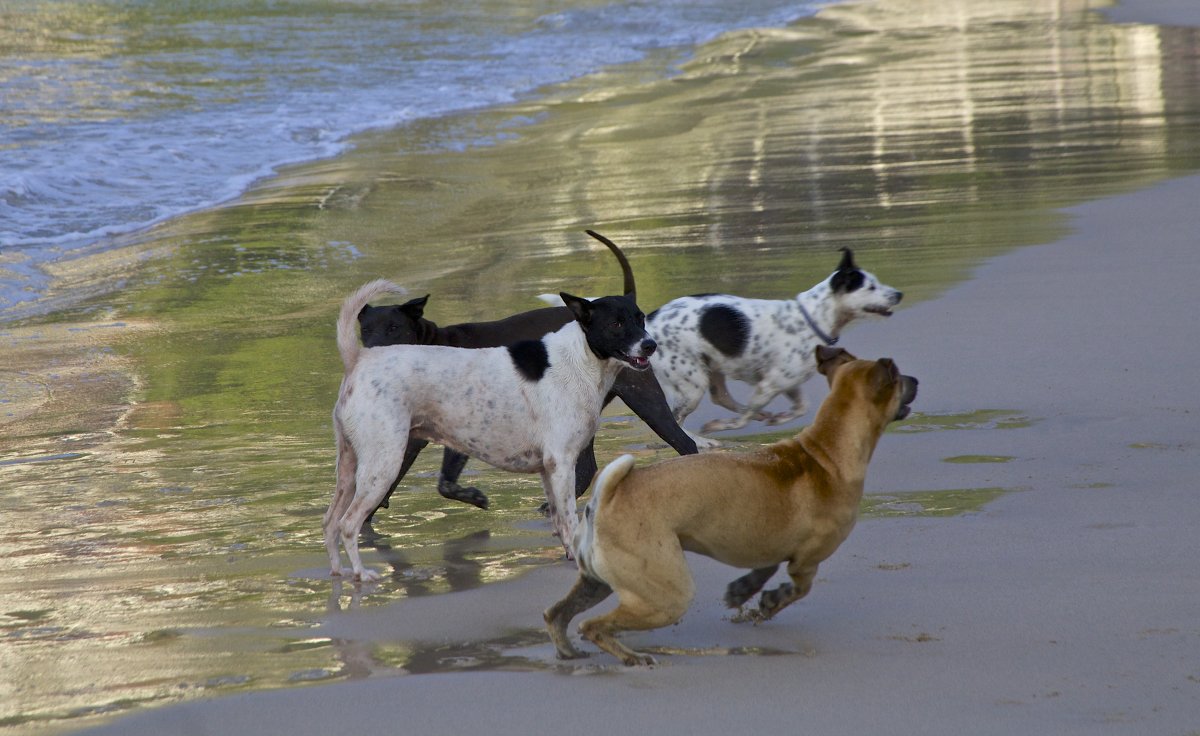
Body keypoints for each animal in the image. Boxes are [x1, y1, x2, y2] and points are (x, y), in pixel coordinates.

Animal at [326, 277, 657, 578]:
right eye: (616, 324)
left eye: (640, 318)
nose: (650, 344)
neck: (580, 359)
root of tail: (358, 359)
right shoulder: (561, 463)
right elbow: (568, 521)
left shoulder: (548, 469)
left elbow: (559, 521)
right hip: (382, 465)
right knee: (348, 524)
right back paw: (362, 575)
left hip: (349, 469)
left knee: (330, 522)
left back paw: (338, 573)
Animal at [544, 345, 916, 667]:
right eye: (899, 379)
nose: (915, 380)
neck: (826, 451)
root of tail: (609, 496)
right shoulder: (808, 559)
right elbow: (798, 588)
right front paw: (770, 602)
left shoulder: (770, 545)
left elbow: (763, 570)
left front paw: (744, 592)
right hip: (666, 596)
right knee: (593, 626)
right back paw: (631, 658)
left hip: (597, 581)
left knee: (557, 614)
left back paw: (569, 653)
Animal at [648, 247, 902, 444]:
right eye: (870, 287)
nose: (899, 294)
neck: (811, 318)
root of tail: (648, 322)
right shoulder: (770, 385)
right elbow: (741, 422)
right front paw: (723, 425)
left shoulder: (788, 384)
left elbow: (802, 407)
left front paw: (777, 418)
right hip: (692, 383)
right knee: (673, 422)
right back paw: (702, 441)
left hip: (710, 368)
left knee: (720, 397)